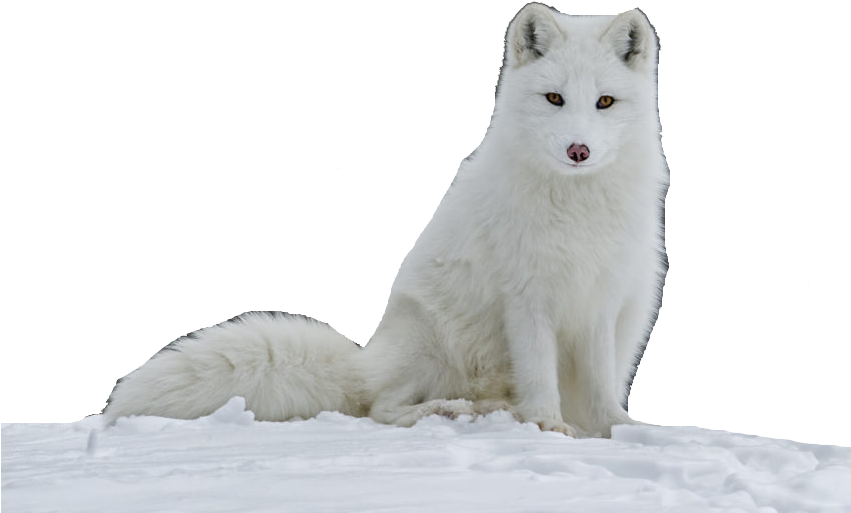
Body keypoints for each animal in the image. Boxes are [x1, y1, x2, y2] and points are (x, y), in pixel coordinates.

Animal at [104, 4, 667, 438]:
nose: (578, 150)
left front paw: (623, 430)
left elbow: (600, 387)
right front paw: (549, 425)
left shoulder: (601, 301)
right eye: (554, 98)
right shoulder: (527, 300)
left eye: (605, 101)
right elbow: (540, 376)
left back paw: (491, 409)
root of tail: (365, 361)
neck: (577, 207)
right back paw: (451, 410)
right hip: (428, 341)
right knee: (381, 408)